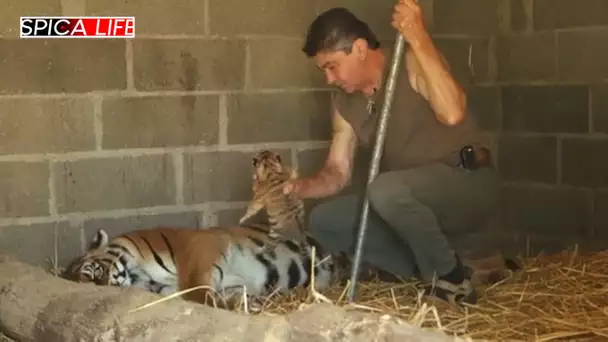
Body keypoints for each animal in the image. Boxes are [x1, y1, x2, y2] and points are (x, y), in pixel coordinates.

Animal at [62, 224, 350, 308]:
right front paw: (245, 303)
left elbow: (197, 288)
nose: (104, 288)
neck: (141, 277)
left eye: (94, 272)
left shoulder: (203, 245)